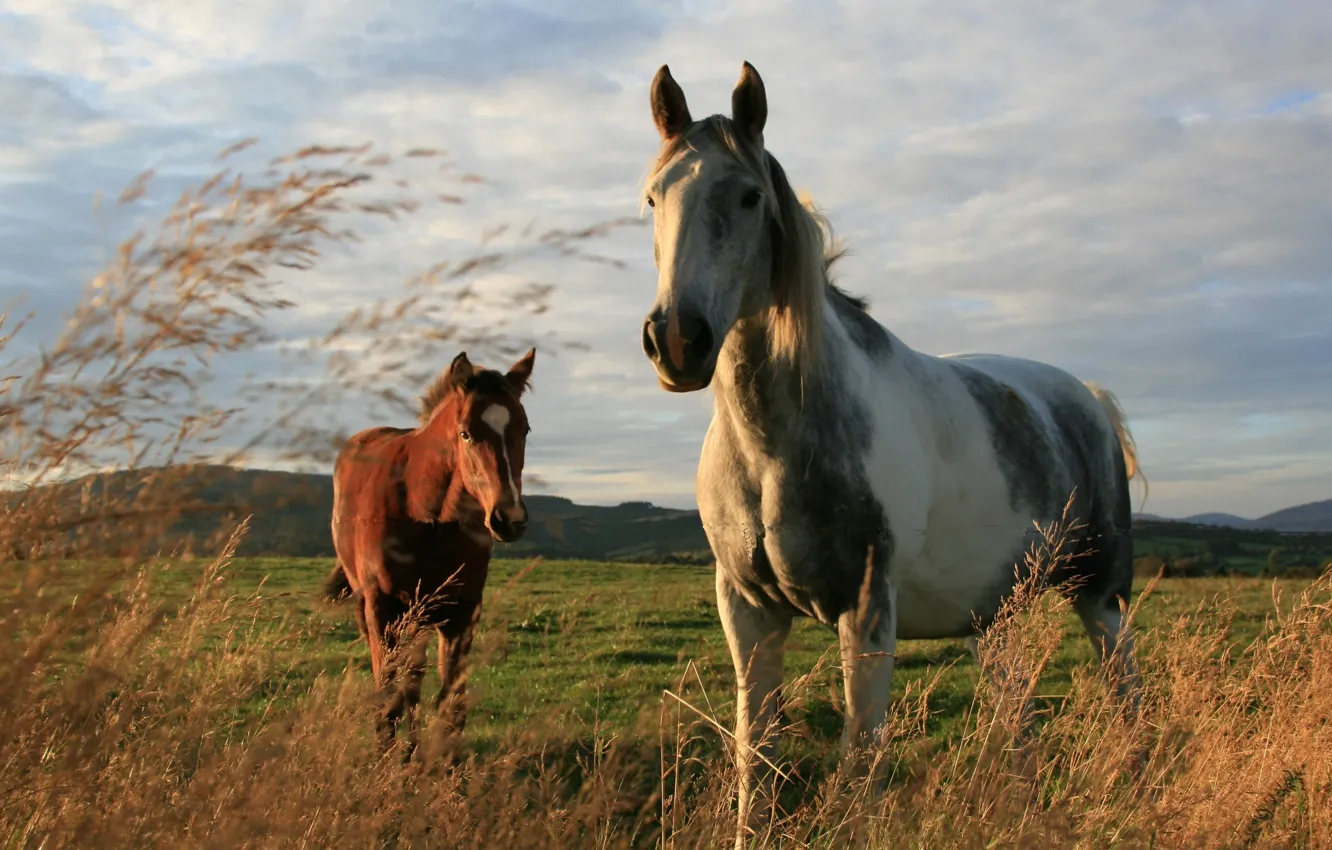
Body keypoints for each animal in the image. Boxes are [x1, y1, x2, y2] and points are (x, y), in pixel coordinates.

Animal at [636, 61, 1145, 847]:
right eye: (653, 197)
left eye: (748, 196)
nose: (677, 341)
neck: (774, 450)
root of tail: (1085, 397)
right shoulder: (747, 610)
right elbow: (757, 758)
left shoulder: (868, 610)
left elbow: (861, 762)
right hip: (995, 618)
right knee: (1019, 716)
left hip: (1100, 595)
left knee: (1127, 698)